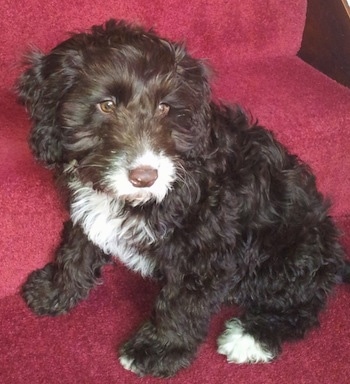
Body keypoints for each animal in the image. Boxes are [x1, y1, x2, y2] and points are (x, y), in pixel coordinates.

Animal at [18, 19, 350, 376]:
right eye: (106, 104)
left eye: (165, 108)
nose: (145, 176)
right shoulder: (88, 210)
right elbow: (76, 248)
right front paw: (55, 289)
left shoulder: (207, 248)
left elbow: (183, 303)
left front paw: (157, 350)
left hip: (291, 255)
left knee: (303, 305)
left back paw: (252, 336)